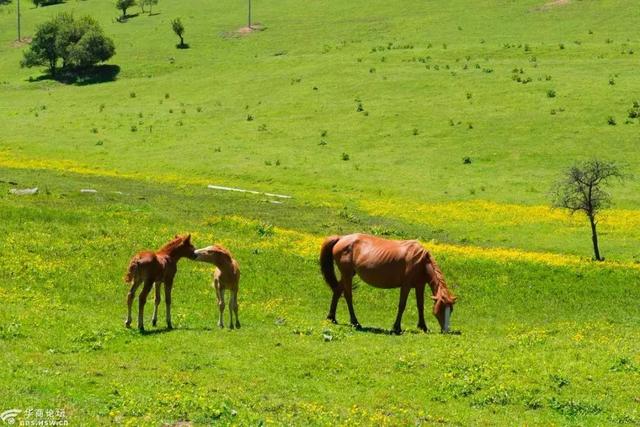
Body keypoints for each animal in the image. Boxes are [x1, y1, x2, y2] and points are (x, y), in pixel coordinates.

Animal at [320, 234, 456, 334]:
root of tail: (341, 238)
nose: (446, 330)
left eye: (451, 310)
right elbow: (402, 305)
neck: (421, 262)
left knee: (337, 291)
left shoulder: (419, 285)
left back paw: (331, 318)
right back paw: (355, 322)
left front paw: (423, 327)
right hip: (347, 274)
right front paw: (396, 328)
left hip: (348, 274)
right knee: (348, 296)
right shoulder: (406, 286)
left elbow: (420, 305)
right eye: (440, 309)